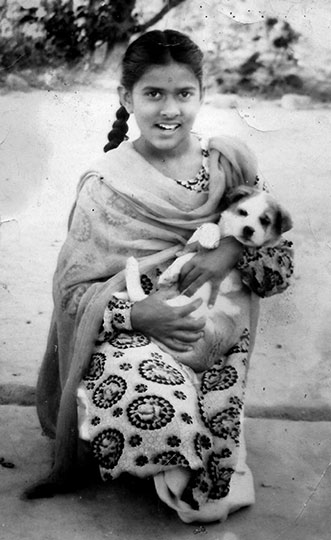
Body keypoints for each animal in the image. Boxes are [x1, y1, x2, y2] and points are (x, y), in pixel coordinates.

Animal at [125, 187, 294, 372]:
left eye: (265, 221)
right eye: (243, 212)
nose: (248, 229)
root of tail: (198, 361)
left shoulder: (231, 279)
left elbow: (192, 256)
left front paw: (170, 273)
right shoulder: (192, 244)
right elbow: (206, 228)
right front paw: (209, 238)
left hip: (180, 307)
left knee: (139, 298)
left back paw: (132, 266)